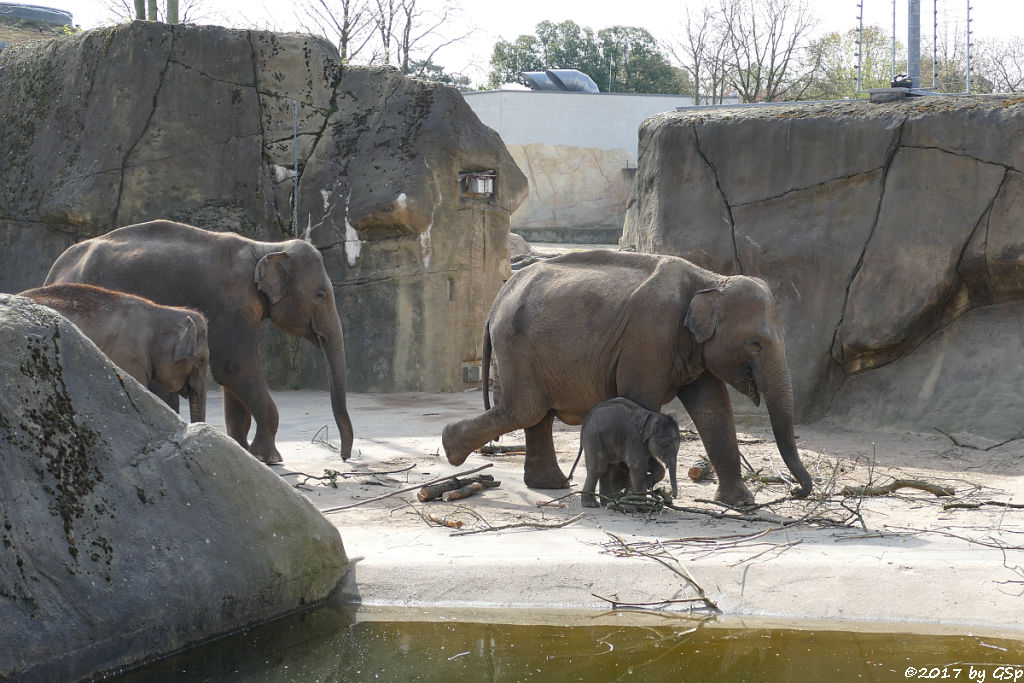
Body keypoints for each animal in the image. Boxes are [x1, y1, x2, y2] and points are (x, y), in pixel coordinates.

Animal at [45, 222, 356, 466]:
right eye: (320, 295)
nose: (344, 457)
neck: (265, 247)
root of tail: (54, 271)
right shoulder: (229, 304)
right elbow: (235, 367)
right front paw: (269, 459)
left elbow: (233, 381)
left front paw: (243, 451)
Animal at [444, 248, 811, 505]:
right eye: (756, 344)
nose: (796, 492)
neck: (710, 280)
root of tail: (497, 300)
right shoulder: (648, 340)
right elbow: (640, 398)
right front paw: (630, 485)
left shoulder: (694, 348)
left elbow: (714, 409)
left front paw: (742, 503)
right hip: (516, 345)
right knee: (525, 409)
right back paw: (451, 449)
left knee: (536, 414)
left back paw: (550, 483)